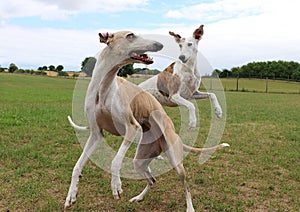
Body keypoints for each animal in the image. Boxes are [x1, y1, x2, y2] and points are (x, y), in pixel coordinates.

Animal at [65, 30, 229, 211]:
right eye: (130, 35)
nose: (160, 44)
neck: (104, 87)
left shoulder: (132, 127)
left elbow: (115, 161)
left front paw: (116, 185)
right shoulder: (96, 134)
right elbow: (77, 166)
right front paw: (71, 195)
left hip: (176, 162)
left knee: (185, 185)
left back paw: (189, 207)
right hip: (140, 159)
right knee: (152, 179)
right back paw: (139, 197)